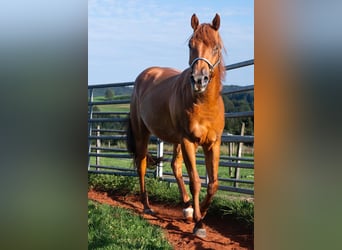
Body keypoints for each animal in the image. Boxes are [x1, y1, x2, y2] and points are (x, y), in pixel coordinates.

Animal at [127, 14, 226, 238]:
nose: (199, 79)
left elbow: (213, 184)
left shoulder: (213, 144)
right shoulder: (189, 141)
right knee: (142, 165)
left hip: (176, 141)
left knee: (174, 166)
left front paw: (200, 213)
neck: (204, 104)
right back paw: (147, 206)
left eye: (216, 47)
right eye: (191, 45)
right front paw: (199, 223)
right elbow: (196, 181)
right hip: (143, 134)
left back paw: (187, 206)